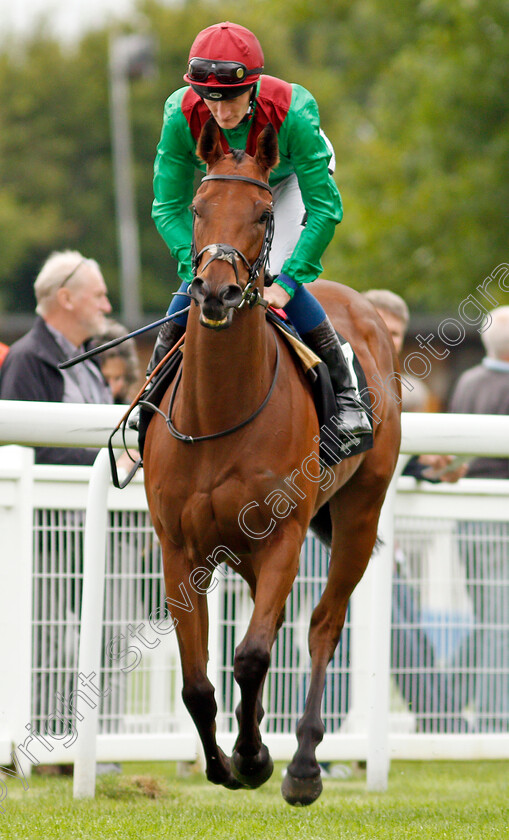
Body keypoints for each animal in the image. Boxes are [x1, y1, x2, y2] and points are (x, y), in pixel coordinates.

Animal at [143, 115, 400, 804]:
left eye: (261, 215)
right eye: (198, 208)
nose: (216, 290)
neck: (219, 415)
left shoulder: (283, 532)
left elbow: (253, 655)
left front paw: (257, 759)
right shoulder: (179, 547)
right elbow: (197, 681)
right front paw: (223, 762)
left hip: (360, 511)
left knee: (322, 625)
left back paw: (304, 763)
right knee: (278, 624)